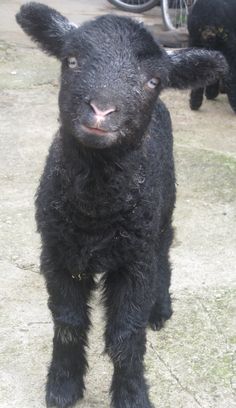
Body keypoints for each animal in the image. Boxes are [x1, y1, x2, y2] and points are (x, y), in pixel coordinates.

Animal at [16, 3, 227, 408]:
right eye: (71, 60)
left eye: (153, 81)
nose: (101, 111)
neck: (96, 209)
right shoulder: (57, 252)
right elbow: (68, 323)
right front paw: (63, 386)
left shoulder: (135, 261)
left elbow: (127, 334)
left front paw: (132, 394)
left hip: (162, 210)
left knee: (164, 250)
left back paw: (160, 309)